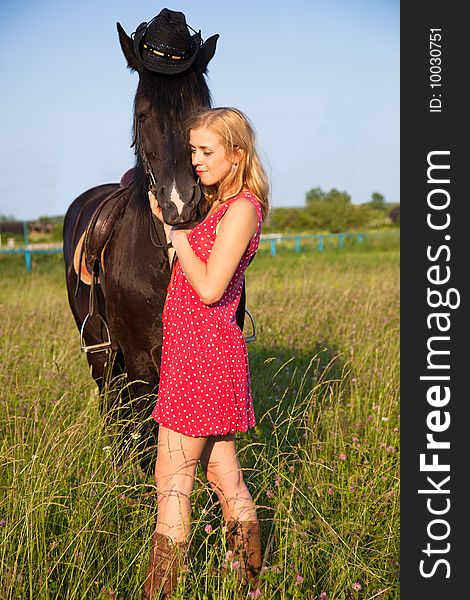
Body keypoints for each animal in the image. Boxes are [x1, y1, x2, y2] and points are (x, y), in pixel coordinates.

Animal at [63, 10, 248, 474]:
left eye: (200, 112)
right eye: (143, 114)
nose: (180, 202)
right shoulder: (140, 360)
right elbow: (150, 438)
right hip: (100, 351)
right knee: (113, 406)